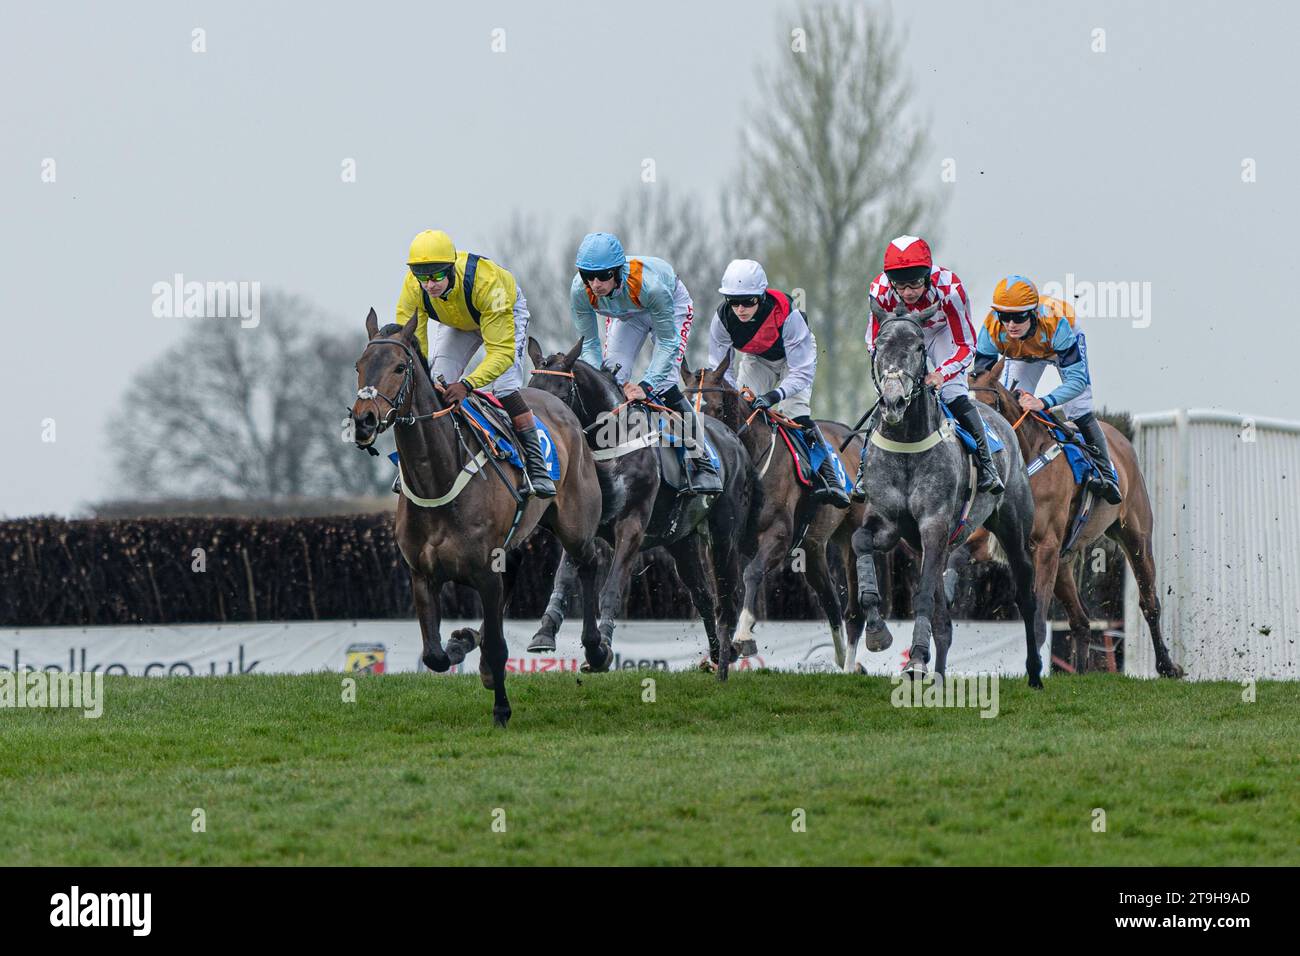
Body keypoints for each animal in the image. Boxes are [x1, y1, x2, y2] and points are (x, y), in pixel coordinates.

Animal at [348, 310, 605, 728]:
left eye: (400, 367)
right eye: (359, 366)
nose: (364, 420)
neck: (437, 477)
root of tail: (558, 403)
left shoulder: (485, 573)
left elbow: (499, 646)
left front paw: (501, 708)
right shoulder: (422, 574)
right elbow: (434, 655)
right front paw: (462, 645)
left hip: (575, 525)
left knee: (589, 563)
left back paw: (596, 650)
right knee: (516, 569)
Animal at [522, 335, 759, 681]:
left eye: (561, 396)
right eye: (531, 389)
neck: (610, 447)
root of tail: (736, 442)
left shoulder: (631, 527)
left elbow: (612, 588)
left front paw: (603, 647)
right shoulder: (582, 526)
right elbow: (563, 580)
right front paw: (544, 632)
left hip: (724, 535)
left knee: (729, 595)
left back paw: (727, 659)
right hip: (682, 542)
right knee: (703, 595)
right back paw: (715, 655)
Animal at [681, 356, 873, 671]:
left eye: (718, 409)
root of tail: (855, 439)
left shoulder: (778, 535)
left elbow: (752, 573)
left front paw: (743, 636)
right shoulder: (719, 542)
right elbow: (723, 593)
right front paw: (721, 656)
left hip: (851, 538)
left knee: (854, 611)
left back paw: (849, 667)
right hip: (813, 548)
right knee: (831, 601)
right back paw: (840, 657)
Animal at [847, 303, 1040, 686]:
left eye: (919, 347)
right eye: (880, 346)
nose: (893, 401)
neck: (907, 443)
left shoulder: (933, 525)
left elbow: (922, 594)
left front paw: (915, 660)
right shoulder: (888, 523)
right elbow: (860, 542)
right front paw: (878, 630)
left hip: (1012, 526)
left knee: (1025, 592)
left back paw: (1035, 672)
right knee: (944, 623)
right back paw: (936, 674)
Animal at [951, 358, 1185, 681]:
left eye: (988, 406)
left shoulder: (1045, 545)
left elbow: (1037, 606)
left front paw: (1034, 666)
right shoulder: (989, 540)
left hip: (1135, 537)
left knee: (1149, 602)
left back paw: (1166, 665)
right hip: (1064, 562)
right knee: (1081, 620)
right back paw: (1082, 673)